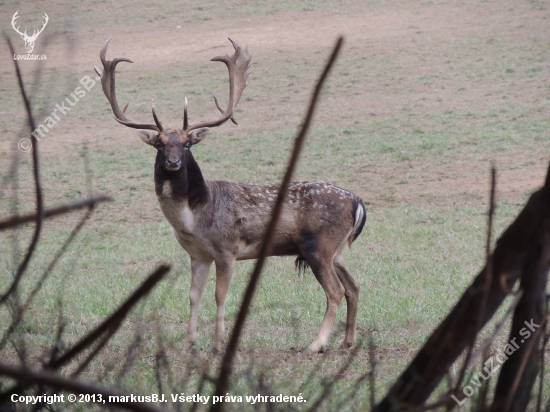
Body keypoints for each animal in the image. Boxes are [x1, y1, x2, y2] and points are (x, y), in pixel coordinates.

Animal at [96, 37, 366, 354]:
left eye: (187, 144)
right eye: (160, 144)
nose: (173, 162)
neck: (194, 217)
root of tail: (358, 203)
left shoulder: (227, 249)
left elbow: (219, 294)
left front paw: (217, 343)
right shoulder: (197, 254)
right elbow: (193, 295)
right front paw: (188, 343)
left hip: (318, 247)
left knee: (336, 291)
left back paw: (315, 344)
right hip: (336, 251)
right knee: (354, 286)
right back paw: (347, 341)